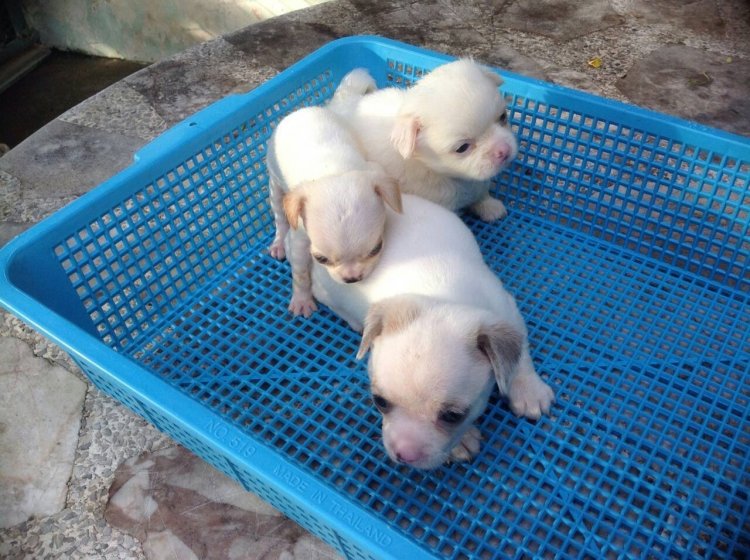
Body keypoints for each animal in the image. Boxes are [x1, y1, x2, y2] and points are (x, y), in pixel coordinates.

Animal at [266, 106, 402, 317]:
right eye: (321, 259)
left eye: (376, 248)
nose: (352, 278)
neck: (334, 171)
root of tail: (300, 110)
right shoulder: (300, 238)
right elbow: (300, 274)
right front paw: (302, 300)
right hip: (275, 181)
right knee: (280, 217)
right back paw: (278, 243)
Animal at [312, 195, 554, 470]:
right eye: (379, 402)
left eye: (452, 416)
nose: (404, 454)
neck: (444, 296)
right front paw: (461, 443)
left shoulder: (507, 311)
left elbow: (521, 353)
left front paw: (529, 390)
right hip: (329, 289)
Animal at [328, 59, 518, 222]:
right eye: (462, 147)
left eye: (503, 117)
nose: (504, 150)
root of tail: (345, 102)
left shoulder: (479, 184)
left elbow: (482, 193)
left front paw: (491, 207)